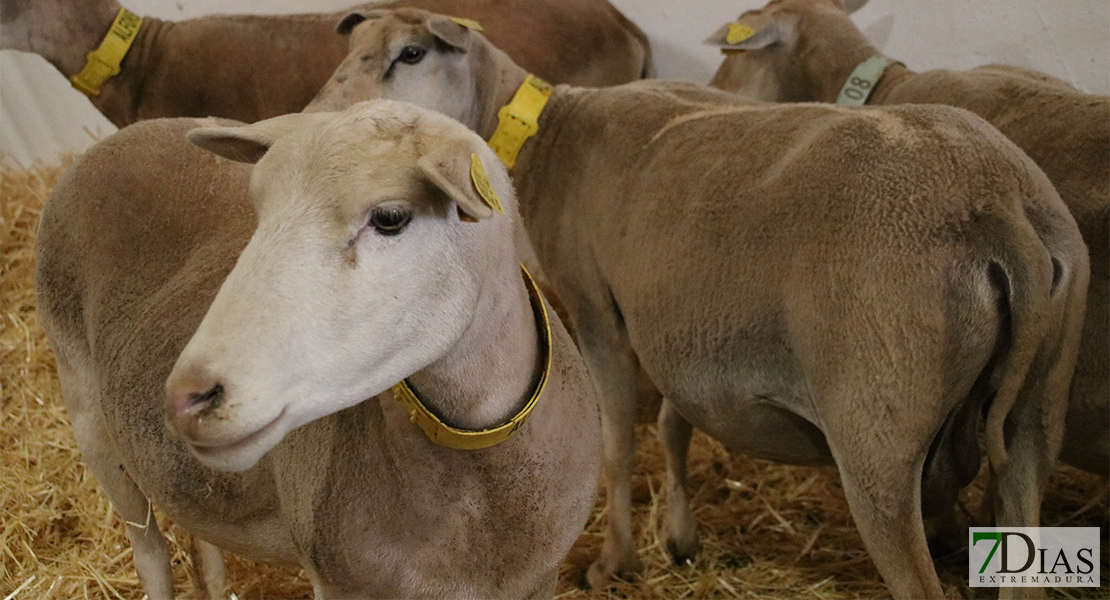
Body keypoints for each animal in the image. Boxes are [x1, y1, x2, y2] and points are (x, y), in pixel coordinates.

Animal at [34, 100, 603, 594]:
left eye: (390, 217)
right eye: (257, 210)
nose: (188, 398)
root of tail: (119, 136)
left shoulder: (539, 578)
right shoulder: (339, 581)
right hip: (89, 419)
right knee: (149, 553)